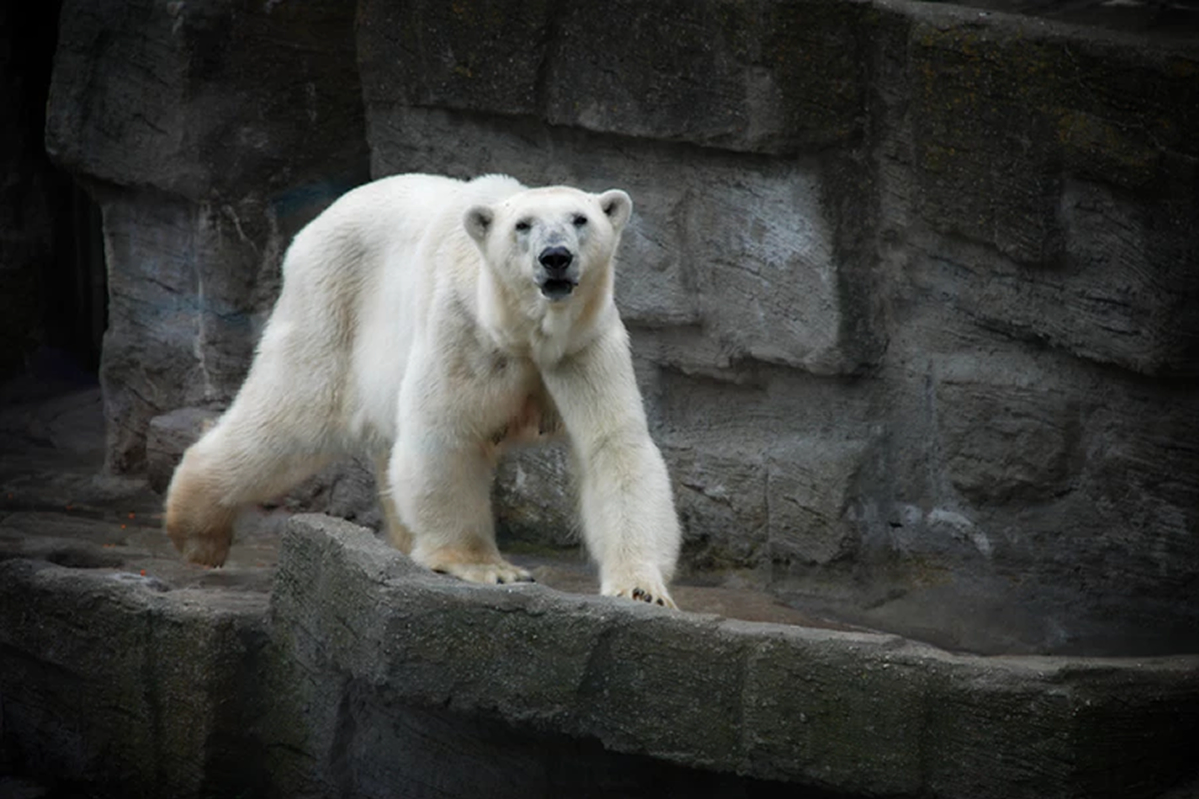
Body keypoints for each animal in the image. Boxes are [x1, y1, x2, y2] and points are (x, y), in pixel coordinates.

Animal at [163, 172, 681, 604]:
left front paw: (641, 589)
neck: (521, 332)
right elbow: (445, 435)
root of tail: (316, 224)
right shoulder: (463, 330)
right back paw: (199, 533)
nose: (556, 258)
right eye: (523, 225)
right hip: (332, 304)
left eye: (580, 218)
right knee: (291, 415)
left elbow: (613, 447)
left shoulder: (584, 347)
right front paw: (488, 567)